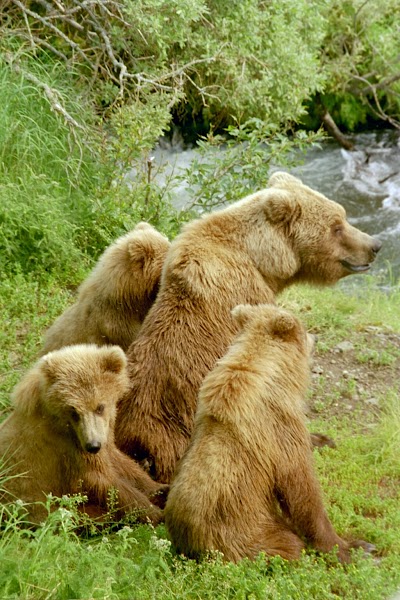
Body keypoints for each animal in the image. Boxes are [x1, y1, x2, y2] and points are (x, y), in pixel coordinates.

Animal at [0, 344, 167, 524]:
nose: (93, 445)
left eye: (99, 407)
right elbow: (104, 481)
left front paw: (160, 489)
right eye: (73, 411)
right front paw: (152, 512)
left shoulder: (100, 436)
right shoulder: (68, 448)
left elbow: (123, 463)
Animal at [115, 171, 382, 480]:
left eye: (343, 215)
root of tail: (138, 443)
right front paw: (319, 436)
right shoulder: (249, 294)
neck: (262, 261)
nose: (374, 245)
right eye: (336, 226)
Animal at [164, 304, 374, 564]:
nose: (314, 337)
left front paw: (325, 439)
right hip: (249, 533)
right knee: (288, 544)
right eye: (303, 328)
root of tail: (193, 548)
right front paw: (351, 547)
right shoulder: (277, 422)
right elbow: (301, 486)